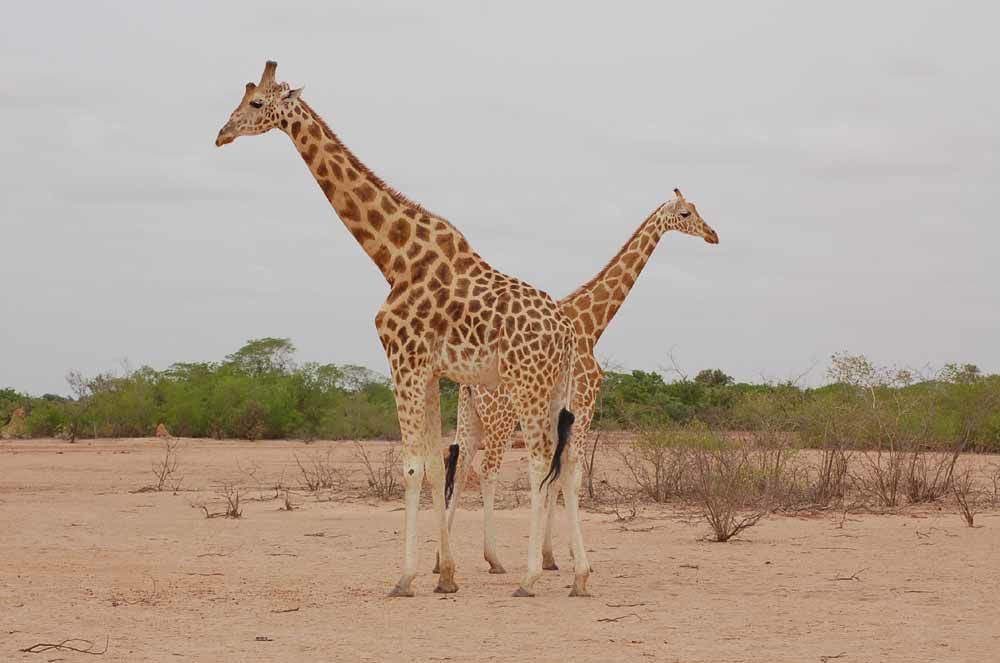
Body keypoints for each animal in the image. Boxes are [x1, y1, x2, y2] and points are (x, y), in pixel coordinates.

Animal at [217, 62, 580, 600]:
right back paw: (581, 576)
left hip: (527, 384)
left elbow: (411, 465)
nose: (221, 134)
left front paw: (406, 578)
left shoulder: (402, 360)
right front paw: (445, 576)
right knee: (568, 460)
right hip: (556, 388)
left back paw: (531, 576)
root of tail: (568, 334)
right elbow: (431, 462)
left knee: (539, 460)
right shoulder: (427, 370)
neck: (393, 258)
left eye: (257, 103)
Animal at [442, 189, 716, 584]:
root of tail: (471, 384)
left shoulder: (563, 415)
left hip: (471, 415)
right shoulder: (583, 405)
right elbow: (571, 473)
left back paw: (441, 560)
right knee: (488, 469)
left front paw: (550, 556)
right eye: (685, 213)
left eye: (696, 210)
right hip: (501, 418)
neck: (591, 325)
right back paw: (493, 558)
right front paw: (568, 559)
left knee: (460, 464)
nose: (713, 234)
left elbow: (555, 477)